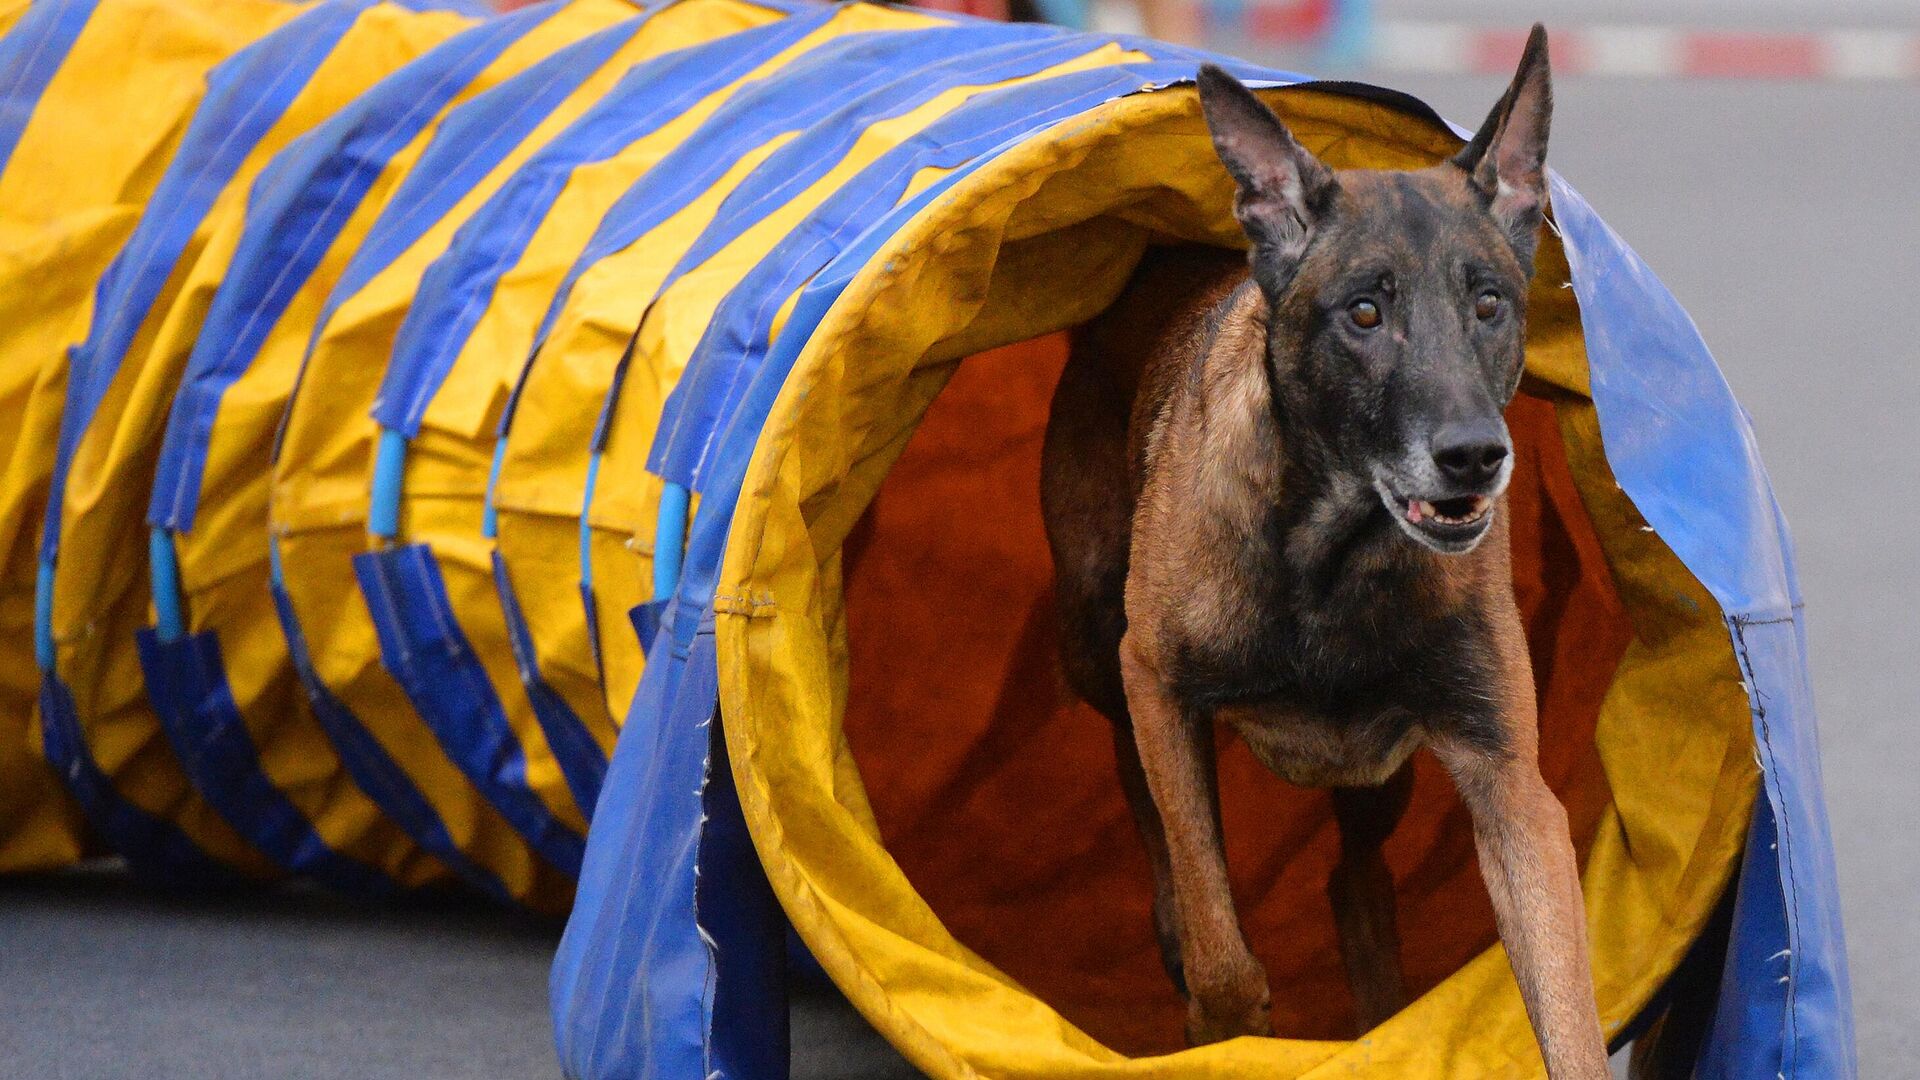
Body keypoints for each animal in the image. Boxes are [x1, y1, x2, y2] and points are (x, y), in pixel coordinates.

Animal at [1044, 25, 1612, 1076]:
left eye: (1488, 305)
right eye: (1364, 313)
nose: (1476, 455)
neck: (1335, 553)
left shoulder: (1510, 787)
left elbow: (1566, 1009)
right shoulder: (1158, 682)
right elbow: (1219, 938)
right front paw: (1219, 1022)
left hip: (1379, 777)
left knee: (1355, 881)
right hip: (1093, 639)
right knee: (1145, 797)